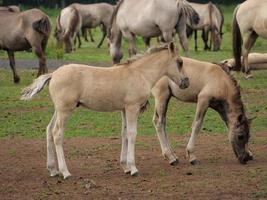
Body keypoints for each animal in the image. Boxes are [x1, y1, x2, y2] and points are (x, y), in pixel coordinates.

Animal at [21, 42, 191, 178]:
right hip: (65, 111)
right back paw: (65, 172)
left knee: (49, 130)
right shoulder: (132, 108)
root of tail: (53, 74)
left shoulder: (124, 109)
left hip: (58, 110)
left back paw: (53, 170)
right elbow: (132, 134)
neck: (140, 73)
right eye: (179, 62)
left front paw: (125, 167)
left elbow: (124, 134)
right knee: (57, 134)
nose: (186, 82)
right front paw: (133, 168)